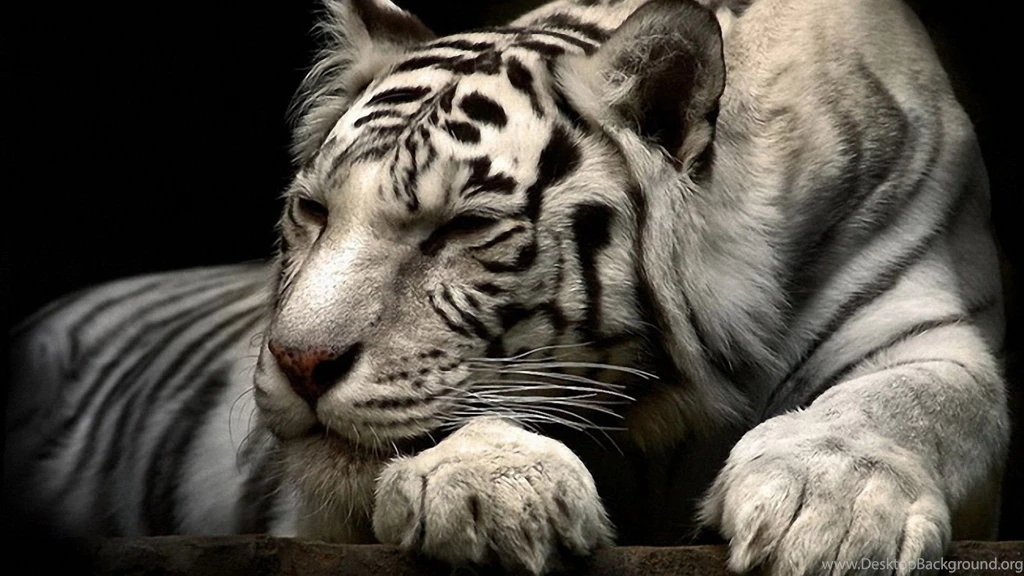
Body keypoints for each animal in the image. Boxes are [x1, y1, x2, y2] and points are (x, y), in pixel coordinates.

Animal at [4, 0, 1009, 574]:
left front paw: (828, 508)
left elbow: (913, 402)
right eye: (314, 212)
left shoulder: (926, 321)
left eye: (459, 229)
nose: (297, 362)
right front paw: (489, 490)